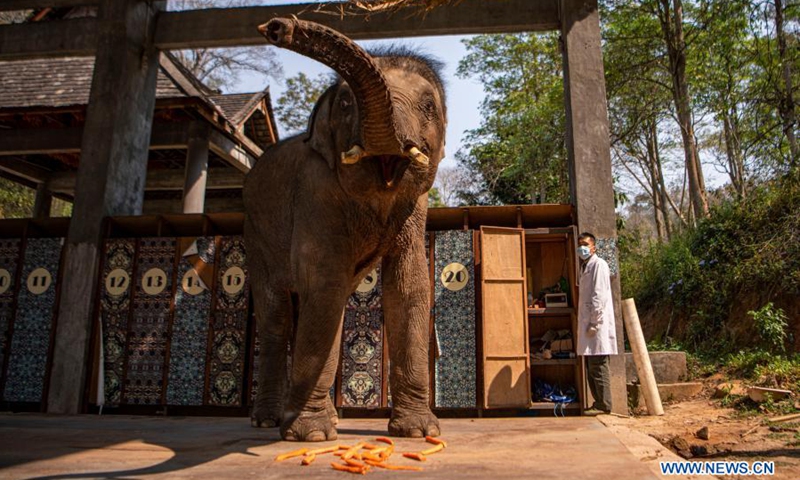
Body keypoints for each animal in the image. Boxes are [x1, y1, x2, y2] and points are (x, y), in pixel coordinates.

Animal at [243, 17, 447, 442]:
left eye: (428, 106)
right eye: (347, 105)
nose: (277, 26)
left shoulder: (416, 206)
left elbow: (408, 285)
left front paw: (419, 432)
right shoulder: (315, 191)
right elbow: (324, 282)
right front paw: (311, 437)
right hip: (256, 235)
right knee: (279, 315)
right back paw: (269, 421)